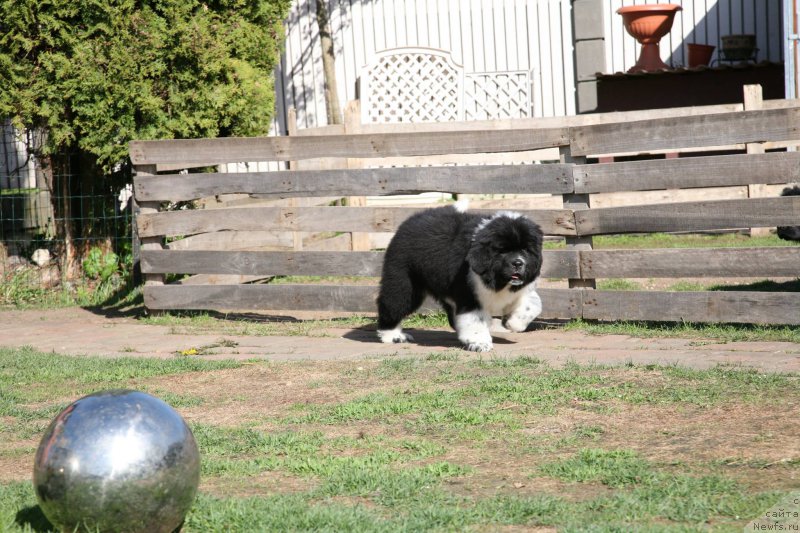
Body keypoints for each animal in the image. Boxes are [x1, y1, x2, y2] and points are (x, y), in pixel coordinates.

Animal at [376, 203, 544, 350]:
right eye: (502, 250)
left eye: (525, 250)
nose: (518, 263)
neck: (497, 280)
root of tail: (410, 220)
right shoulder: (469, 295)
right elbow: (476, 319)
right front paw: (479, 343)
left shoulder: (520, 289)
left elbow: (534, 303)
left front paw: (512, 322)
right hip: (405, 285)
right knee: (392, 304)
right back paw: (393, 336)